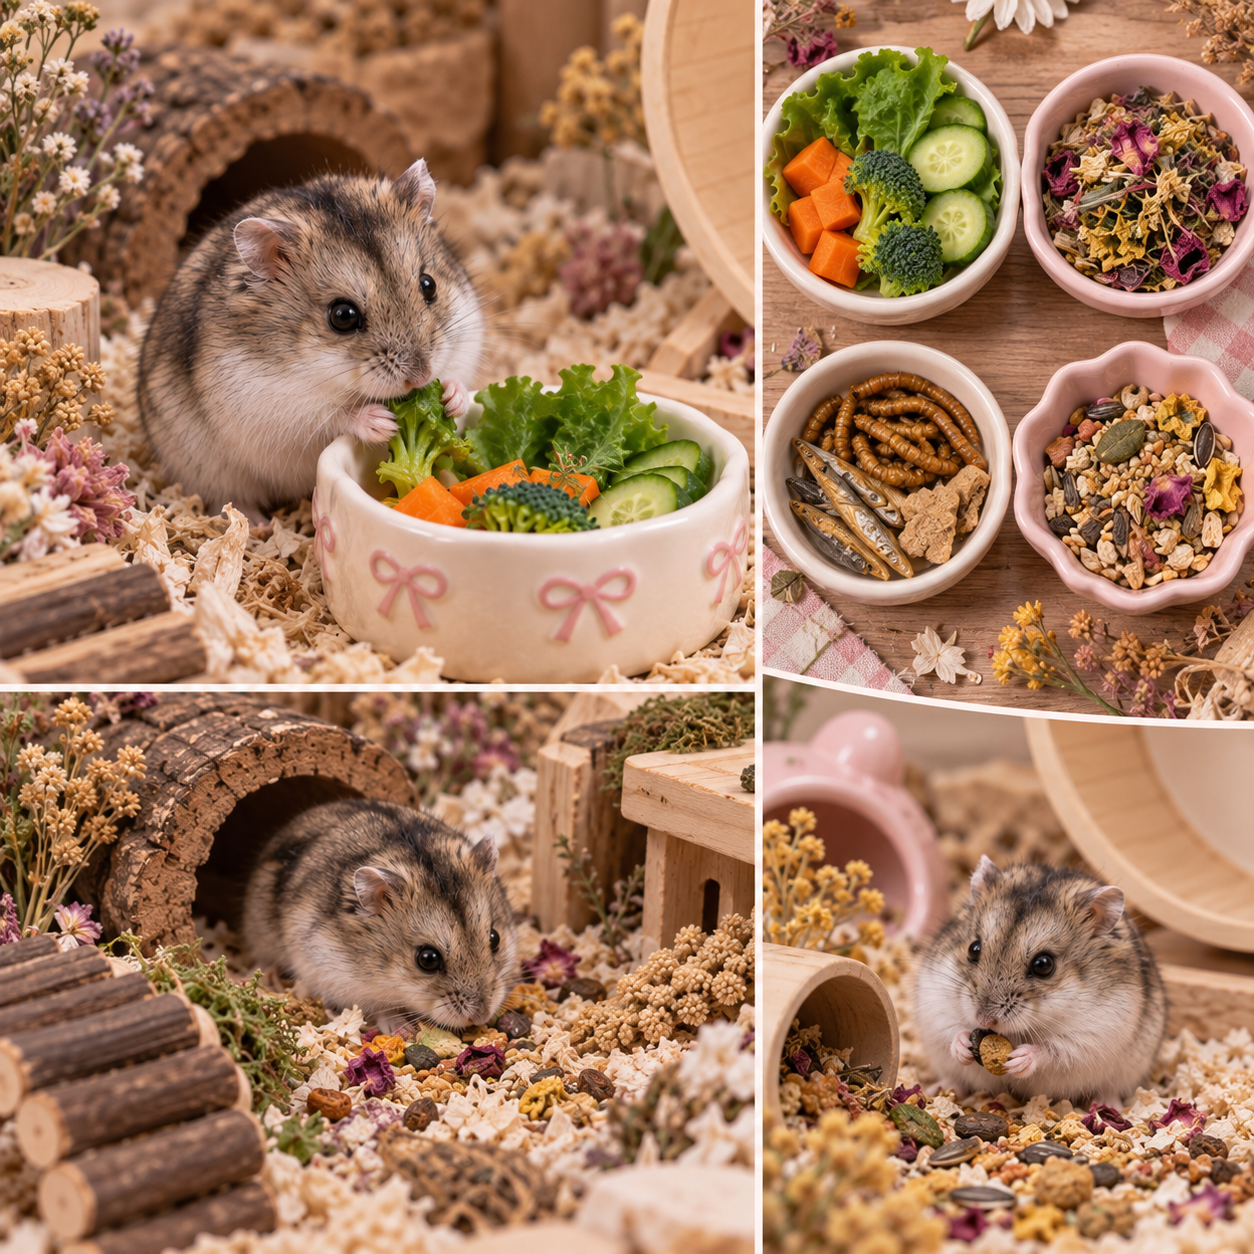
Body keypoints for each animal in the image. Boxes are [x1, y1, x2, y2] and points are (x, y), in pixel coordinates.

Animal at [138, 159, 484, 522]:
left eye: (429, 284)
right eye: (342, 316)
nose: (420, 377)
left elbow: (457, 378)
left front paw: (452, 398)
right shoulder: (277, 409)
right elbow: (332, 417)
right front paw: (383, 423)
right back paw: (257, 524)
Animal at [242, 798, 517, 1033]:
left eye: (494, 938)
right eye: (427, 959)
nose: (481, 1017)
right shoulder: (337, 979)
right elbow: (379, 1009)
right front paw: (404, 1029)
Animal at [914, 857, 1166, 1107]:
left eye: (1043, 965)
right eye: (973, 949)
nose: (984, 1020)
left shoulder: (1090, 1038)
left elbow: (1052, 1051)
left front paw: (1018, 1059)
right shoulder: (935, 1005)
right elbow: (951, 1029)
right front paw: (963, 1047)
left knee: (1110, 1089)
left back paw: (1107, 1104)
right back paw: (938, 1088)